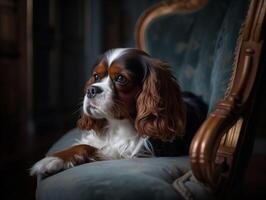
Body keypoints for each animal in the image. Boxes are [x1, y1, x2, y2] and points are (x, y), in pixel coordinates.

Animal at [30, 48, 207, 177]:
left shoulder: (138, 151)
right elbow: (86, 143)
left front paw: (52, 160)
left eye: (121, 78)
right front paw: (56, 157)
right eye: (96, 76)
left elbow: (89, 147)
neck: (117, 124)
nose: (91, 90)